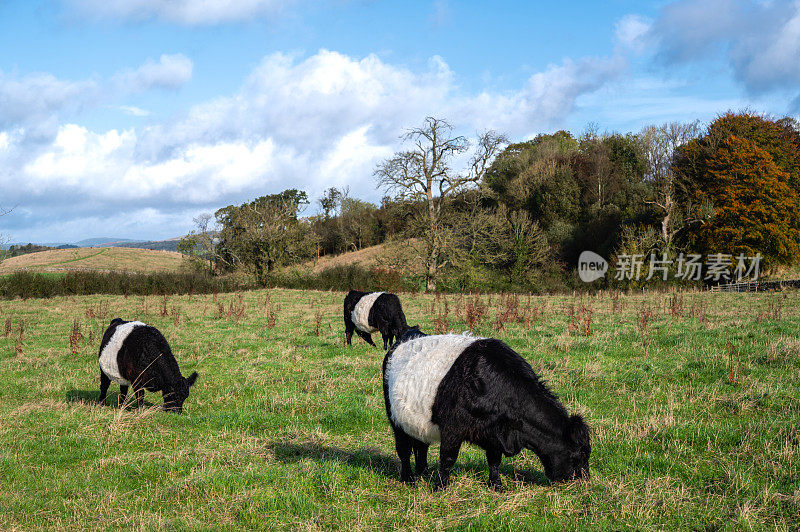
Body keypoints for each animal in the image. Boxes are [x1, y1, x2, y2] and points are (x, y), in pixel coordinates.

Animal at [382, 328, 588, 490]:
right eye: (579, 455)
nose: (583, 481)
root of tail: (408, 334)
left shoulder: (495, 433)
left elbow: (494, 460)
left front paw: (496, 485)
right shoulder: (453, 427)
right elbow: (448, 458)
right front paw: (440, 487)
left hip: (419, 422)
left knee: (421, 446)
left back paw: (423, 473)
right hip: (394, 417)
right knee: (404, 449)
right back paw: (408, 478)